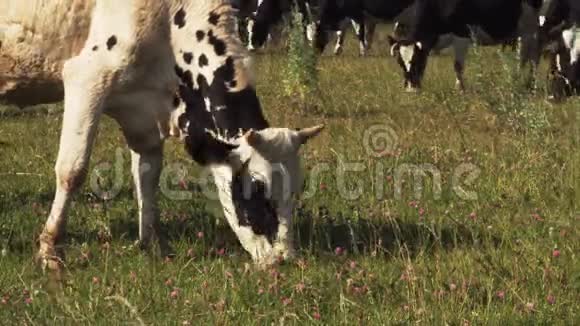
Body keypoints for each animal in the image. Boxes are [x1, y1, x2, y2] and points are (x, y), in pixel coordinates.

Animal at [0, 0, 324, 270]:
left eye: (296, 189)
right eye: (257, 186)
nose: (285, 259)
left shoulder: (144, 117)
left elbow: (147, 176)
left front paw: (152, 245)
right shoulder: (88, 78)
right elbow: (72, 171)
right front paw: (50, 250)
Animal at [390, 0, 544, 90]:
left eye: (418, 61)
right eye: (400, 63)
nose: (410, 89)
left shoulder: (462, 35)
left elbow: (458, 66)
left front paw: (460, 89)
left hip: (532, 28)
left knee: (529, 59)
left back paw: (524, 84)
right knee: (530, 58)